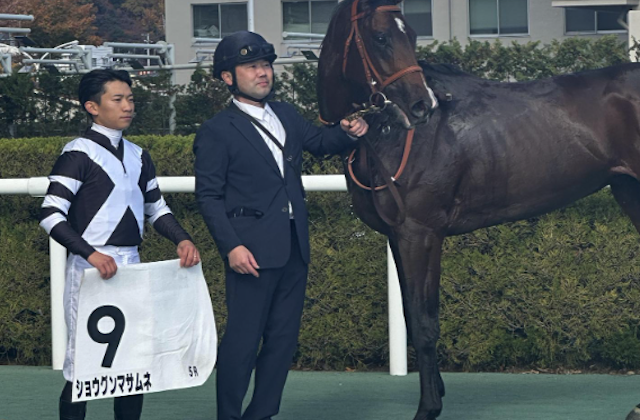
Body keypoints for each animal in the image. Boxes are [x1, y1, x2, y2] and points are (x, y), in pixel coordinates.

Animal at [318, 0, 640, 419]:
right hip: (629, 191)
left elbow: (424, 321)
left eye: (410, 34)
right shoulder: (397, 236)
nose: (422, 106)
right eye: (382, 37)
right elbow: (410, 315)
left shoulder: (421, 233)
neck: (392, 137)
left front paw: (428, 407)